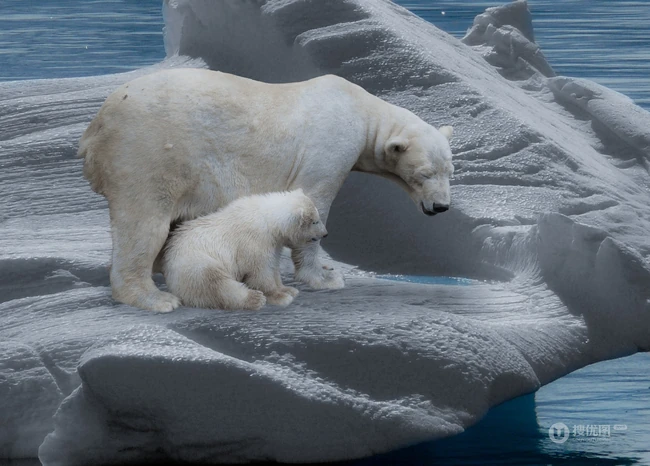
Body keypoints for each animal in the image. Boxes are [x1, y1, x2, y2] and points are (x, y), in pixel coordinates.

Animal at [161, 189, 327, 311]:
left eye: (317, 217)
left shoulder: (273, 243)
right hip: (196, 263)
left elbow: (273, 267)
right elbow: (260, 272)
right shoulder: (254, 242)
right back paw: (254, 298)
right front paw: (280, 297)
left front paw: (288, 289)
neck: (267, 220)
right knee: (217, 284)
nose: (325, 234)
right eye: (315, 221)